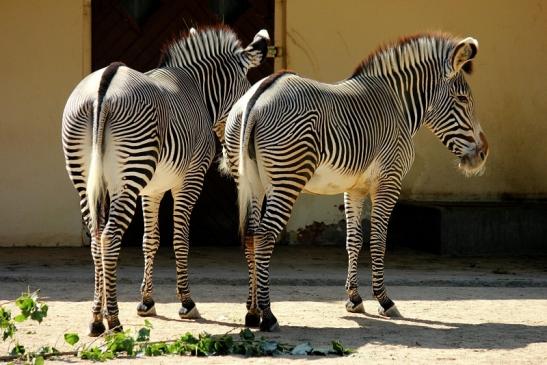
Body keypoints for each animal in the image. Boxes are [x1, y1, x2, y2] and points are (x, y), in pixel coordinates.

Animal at [61, 26, 270, 336]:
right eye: (246, 89)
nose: (232, 149)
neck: (198, 90)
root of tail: (105, 81)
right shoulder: (191, 178)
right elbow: (180, 238)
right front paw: (186, 302)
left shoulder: (153, 188)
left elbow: (151, 239)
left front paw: (146, 302)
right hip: (129, 175)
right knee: (109, 237)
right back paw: (113, 319)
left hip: (84, 175)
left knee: (96, 238)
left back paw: (96, 318)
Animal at [220, 33, 490, 330]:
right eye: (462, 99)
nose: (483, 154)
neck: (398, 106)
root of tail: (257, 96)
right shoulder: (389, 181)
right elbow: (378, 240)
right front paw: (384, 301)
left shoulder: (354, 188)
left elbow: (354, 239)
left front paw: (354, 299)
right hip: (287, 178)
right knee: (265, 235)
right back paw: (268, 316)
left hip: (250, 181)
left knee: (251, 236)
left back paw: (252, 312)